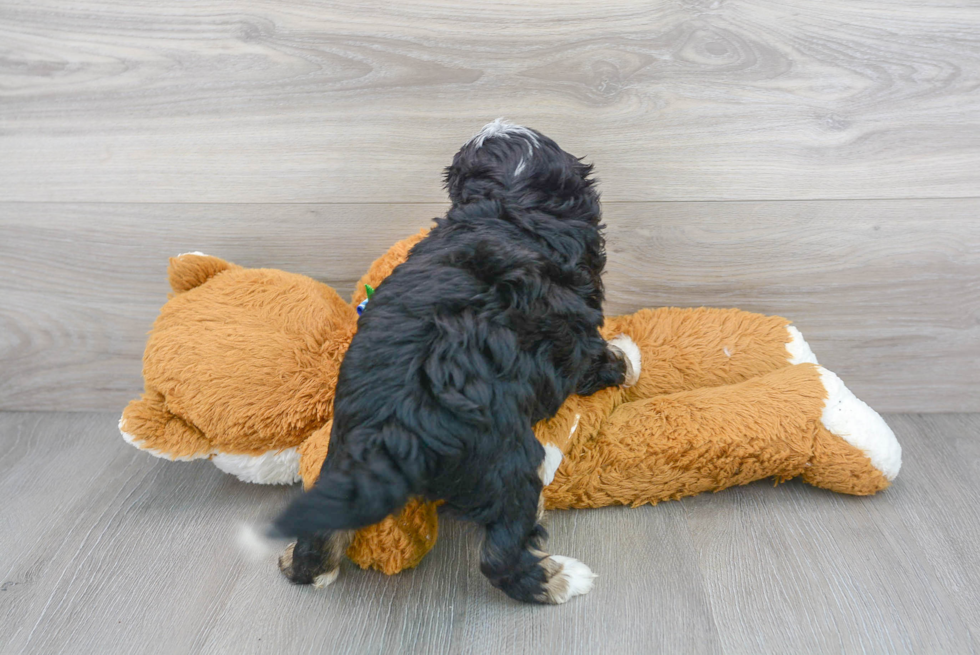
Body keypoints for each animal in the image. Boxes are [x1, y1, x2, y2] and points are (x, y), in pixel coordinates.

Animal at [272, 119, 640, 604]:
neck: (509, 205)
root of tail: (395, 430)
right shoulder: (577, 333)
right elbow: (600, 358)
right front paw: (629, 357)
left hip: (342, 450)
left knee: (323, 526)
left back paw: (303, 564)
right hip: (508, 463)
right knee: (501, 553)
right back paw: (561, 579)